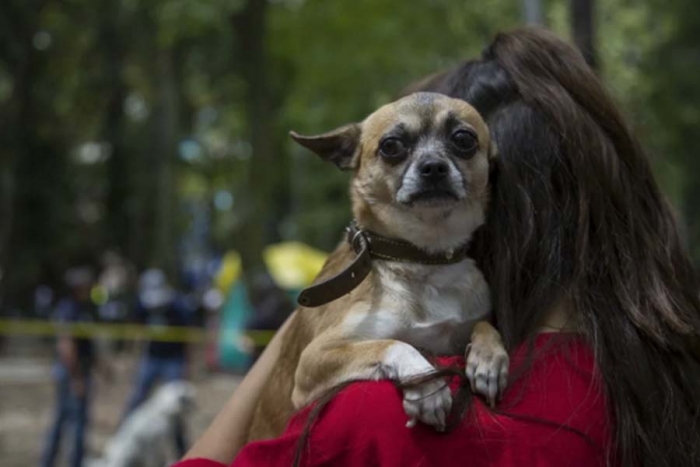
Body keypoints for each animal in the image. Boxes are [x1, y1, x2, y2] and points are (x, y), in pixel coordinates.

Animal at [247, 92, 508, 442]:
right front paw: (427, 388)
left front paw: (489, 358)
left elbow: (485, 325)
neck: (421, 259)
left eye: (464, 139)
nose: (433, 167)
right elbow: (394, 344)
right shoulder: (314, 359)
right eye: (391, 146)